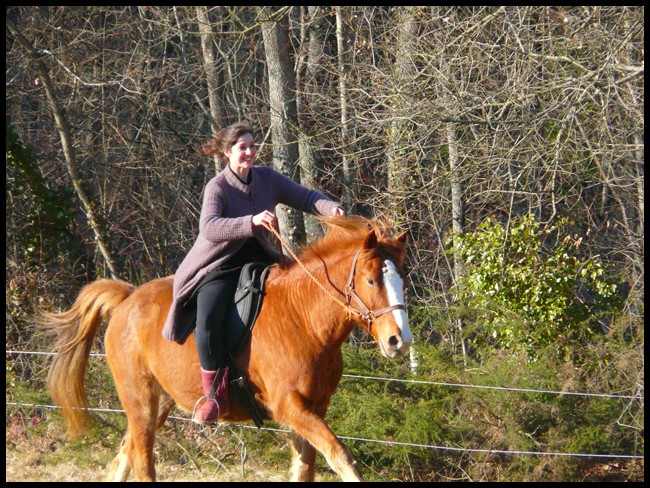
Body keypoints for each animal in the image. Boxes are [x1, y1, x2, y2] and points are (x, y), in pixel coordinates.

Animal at [43, 216, 410, 480]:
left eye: (402, 280)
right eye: (371, 280)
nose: (399, 340)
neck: (303, 318)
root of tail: (127, 298)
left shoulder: (313, 409)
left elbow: (305, 468)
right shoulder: (290, 406)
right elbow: (340, 456)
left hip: (159, 401)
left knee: (126, 453)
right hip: (140, 400)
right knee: (142, 459)